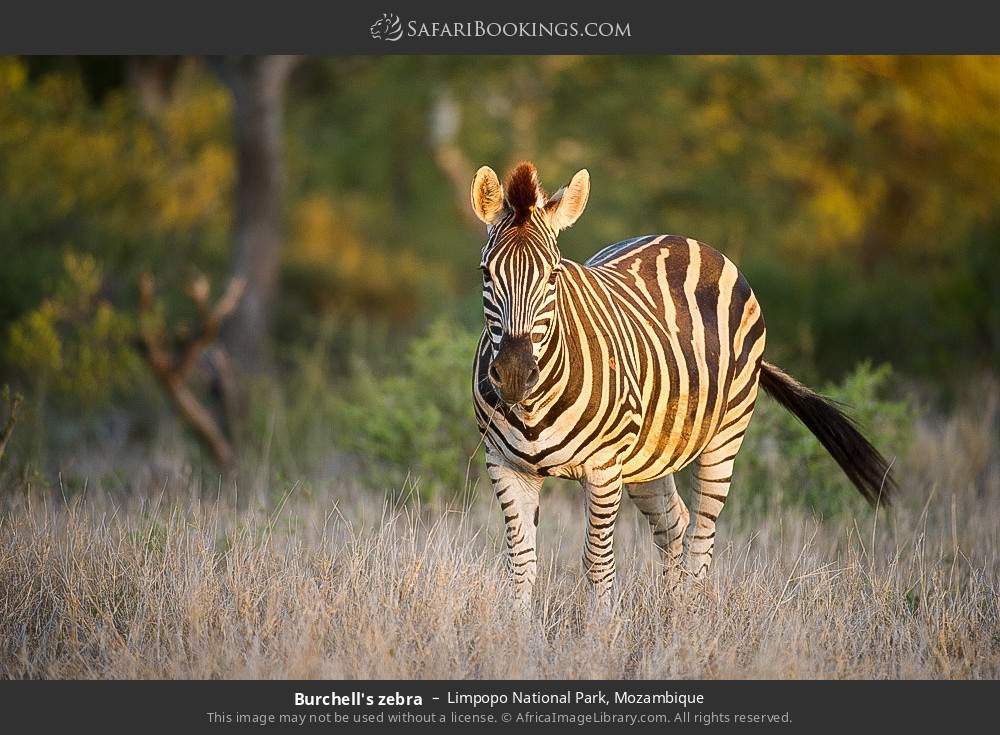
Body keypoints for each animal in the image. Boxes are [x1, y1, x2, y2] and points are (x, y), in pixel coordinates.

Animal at [470, 161, 896, 610]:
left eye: (553, 274)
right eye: (486, 273)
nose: (515, 373)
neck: (533, 407)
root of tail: (687, 240)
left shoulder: (604, 469)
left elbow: (597, 563)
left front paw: (601, 628)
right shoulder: (505, 467)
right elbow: (521, 564)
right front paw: (518, 629)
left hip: (724, 436)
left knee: (702, 534)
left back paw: (691, 614)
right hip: (649, 455)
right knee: (675, 522)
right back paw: (671, 612)